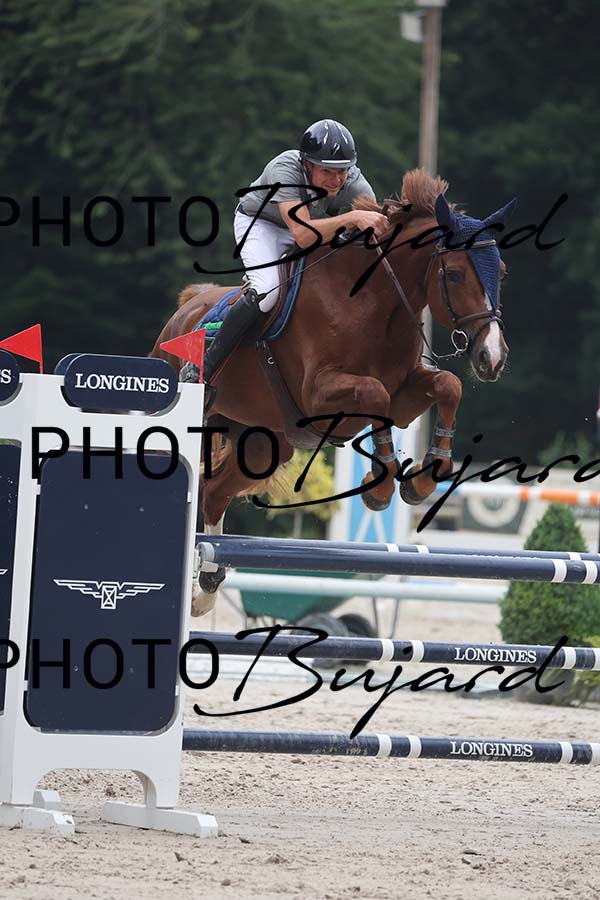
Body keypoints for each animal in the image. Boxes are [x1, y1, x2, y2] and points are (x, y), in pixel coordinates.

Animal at [152, 169, 516, 614]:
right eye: (456, 274)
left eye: (501, 272)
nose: (491, 357)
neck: (375, 302)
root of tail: (187, 307)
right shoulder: (318, 392)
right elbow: (375, 395)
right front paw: (381, 486)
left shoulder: (406, 392)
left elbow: (447, 386)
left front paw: (424, 478)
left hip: (261, 444)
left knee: (216, 492)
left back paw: (205, 587)